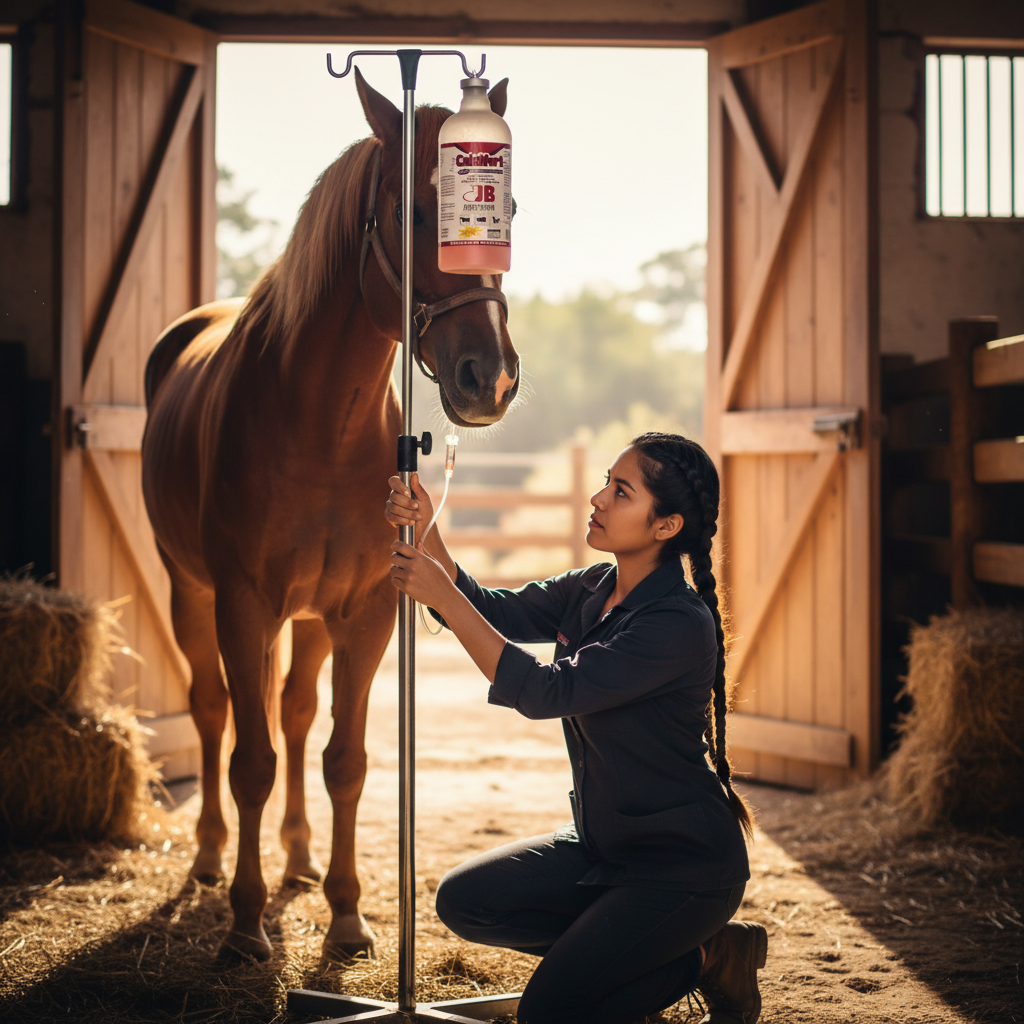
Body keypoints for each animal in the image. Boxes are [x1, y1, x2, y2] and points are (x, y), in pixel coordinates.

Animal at [141, 70, 519, 962]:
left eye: (509, 212)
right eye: (412, 212)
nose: (489, 377)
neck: (317, 426)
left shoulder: (365, 611)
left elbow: (342, 757)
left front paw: (346, 917)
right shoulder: (243, 604)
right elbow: (250, 759)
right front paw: (246, 925)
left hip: (310, 619)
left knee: (295, 712)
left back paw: (302, 859)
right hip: (191, 594)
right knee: (214, 711)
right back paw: (210, 859)